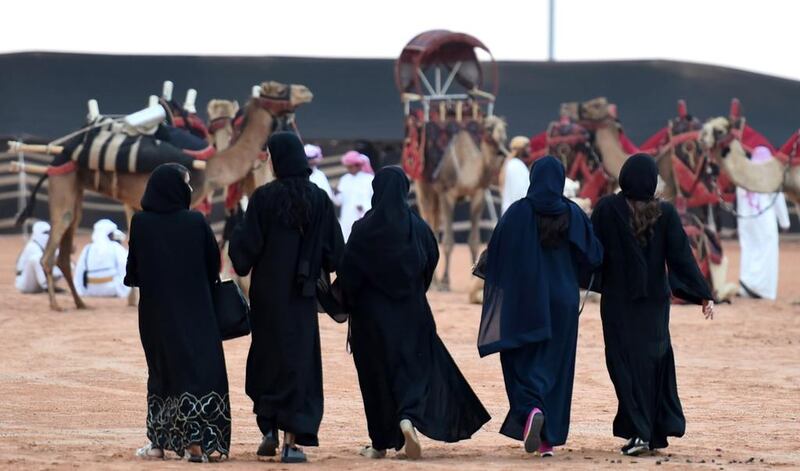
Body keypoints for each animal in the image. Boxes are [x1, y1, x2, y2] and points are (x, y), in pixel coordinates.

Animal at [22, 79, 316, 312]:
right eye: (279, 89)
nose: (306, 91)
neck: (211, 166)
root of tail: (59, 153)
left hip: (75, 191)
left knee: (64, 249)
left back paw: (81, 303)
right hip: (63, 183)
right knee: (50, 250)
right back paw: (56, 305)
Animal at [416, 115, 510, 292]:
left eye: (504, 127)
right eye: (488, 128)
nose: (502, 145)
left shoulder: (478, 194)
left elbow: (474, 241)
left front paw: (473, 279)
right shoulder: (447, 194)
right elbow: (448, 242)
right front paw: (446, 282)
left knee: (435, 223)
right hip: (424, 187)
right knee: (428, 217)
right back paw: (435, 284)